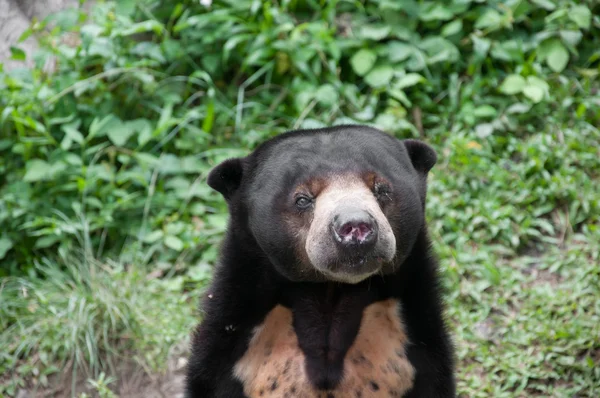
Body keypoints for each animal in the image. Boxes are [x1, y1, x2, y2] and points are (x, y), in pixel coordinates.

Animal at [188, 125, 454, 398]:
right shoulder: (231, 347)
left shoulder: (416, 354)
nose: (356, 227)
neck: (329, 293)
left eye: (381, 189)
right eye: (303, 199)